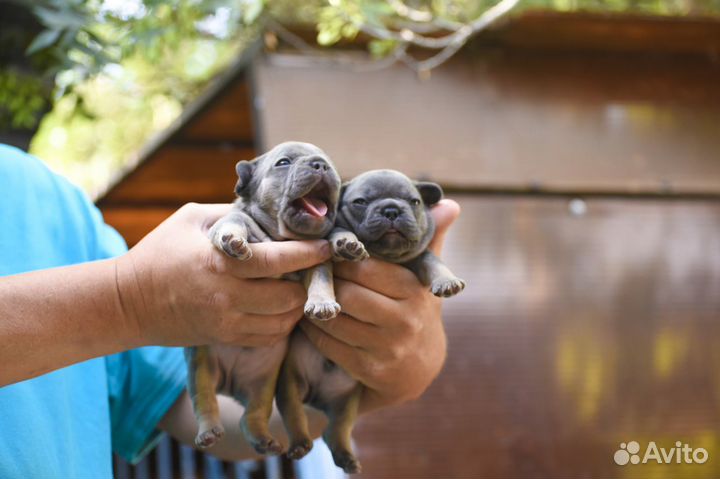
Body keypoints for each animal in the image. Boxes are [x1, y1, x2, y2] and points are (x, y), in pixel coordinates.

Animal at [181, 142, 358, 458]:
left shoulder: (317, 262)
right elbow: (234, 222)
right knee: (205, 400)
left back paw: (263, 438)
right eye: (283, 163)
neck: (281, 238)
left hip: (263, 384)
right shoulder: (232, 219)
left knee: (252, 414)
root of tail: (229, 383)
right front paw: (233, 240)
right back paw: (208, 431)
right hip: (201, 368)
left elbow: (321, 280)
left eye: (330, 163)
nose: (320, 164)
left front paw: (322, 303)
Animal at [276, 171, 466, 474]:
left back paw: (346, 457)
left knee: (336, 431)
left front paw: (446, 280)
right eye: (360, 202)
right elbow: (326, 265)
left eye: (414, 201)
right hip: (291, 387)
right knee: (294, 415)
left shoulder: (418, 256)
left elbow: (432, 261)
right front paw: (347, 245)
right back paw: (299, 444)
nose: (391, 210)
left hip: (347, 403)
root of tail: (317, 396)